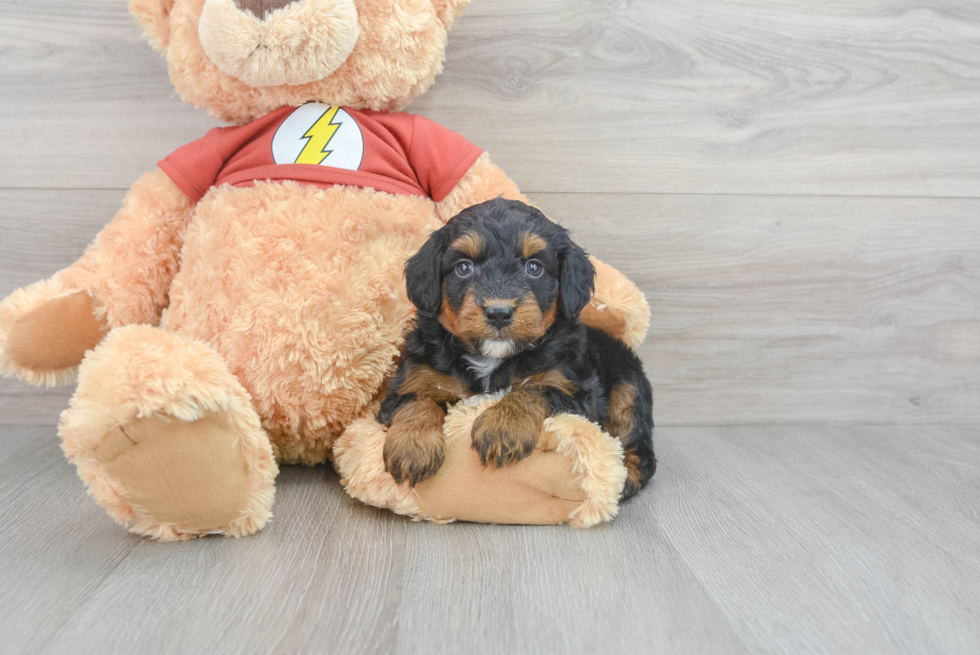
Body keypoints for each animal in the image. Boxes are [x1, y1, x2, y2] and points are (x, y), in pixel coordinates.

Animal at [378, 197, 656, 500]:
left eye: (534, 267)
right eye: (464, 267)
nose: (499, 313)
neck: (491, 358)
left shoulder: (578, 392)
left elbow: (535, 390)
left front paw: (503, 426)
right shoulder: (414, 376)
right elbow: (416, 400)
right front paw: (412, 446)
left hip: (628, 389)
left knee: (640, 446)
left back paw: (625, 480)